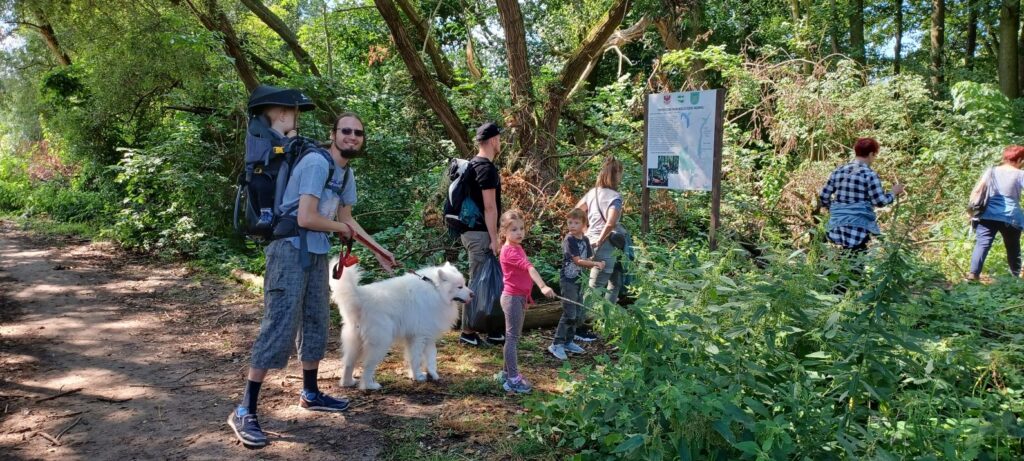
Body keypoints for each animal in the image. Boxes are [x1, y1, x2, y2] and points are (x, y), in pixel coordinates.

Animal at [327, 261, 471, 391]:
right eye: (459, 287)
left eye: (464, 285)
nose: (472, 294)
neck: (435, 289)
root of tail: (360, 298)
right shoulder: (419, 337)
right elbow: (416, 359)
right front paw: (418, 377)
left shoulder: (427, 337)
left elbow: (431, 358)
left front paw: (432, 374)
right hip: (380, 343)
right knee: (367, 366)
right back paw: (369, 386)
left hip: (355, 341)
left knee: (348, 363)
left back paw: (347, 383)